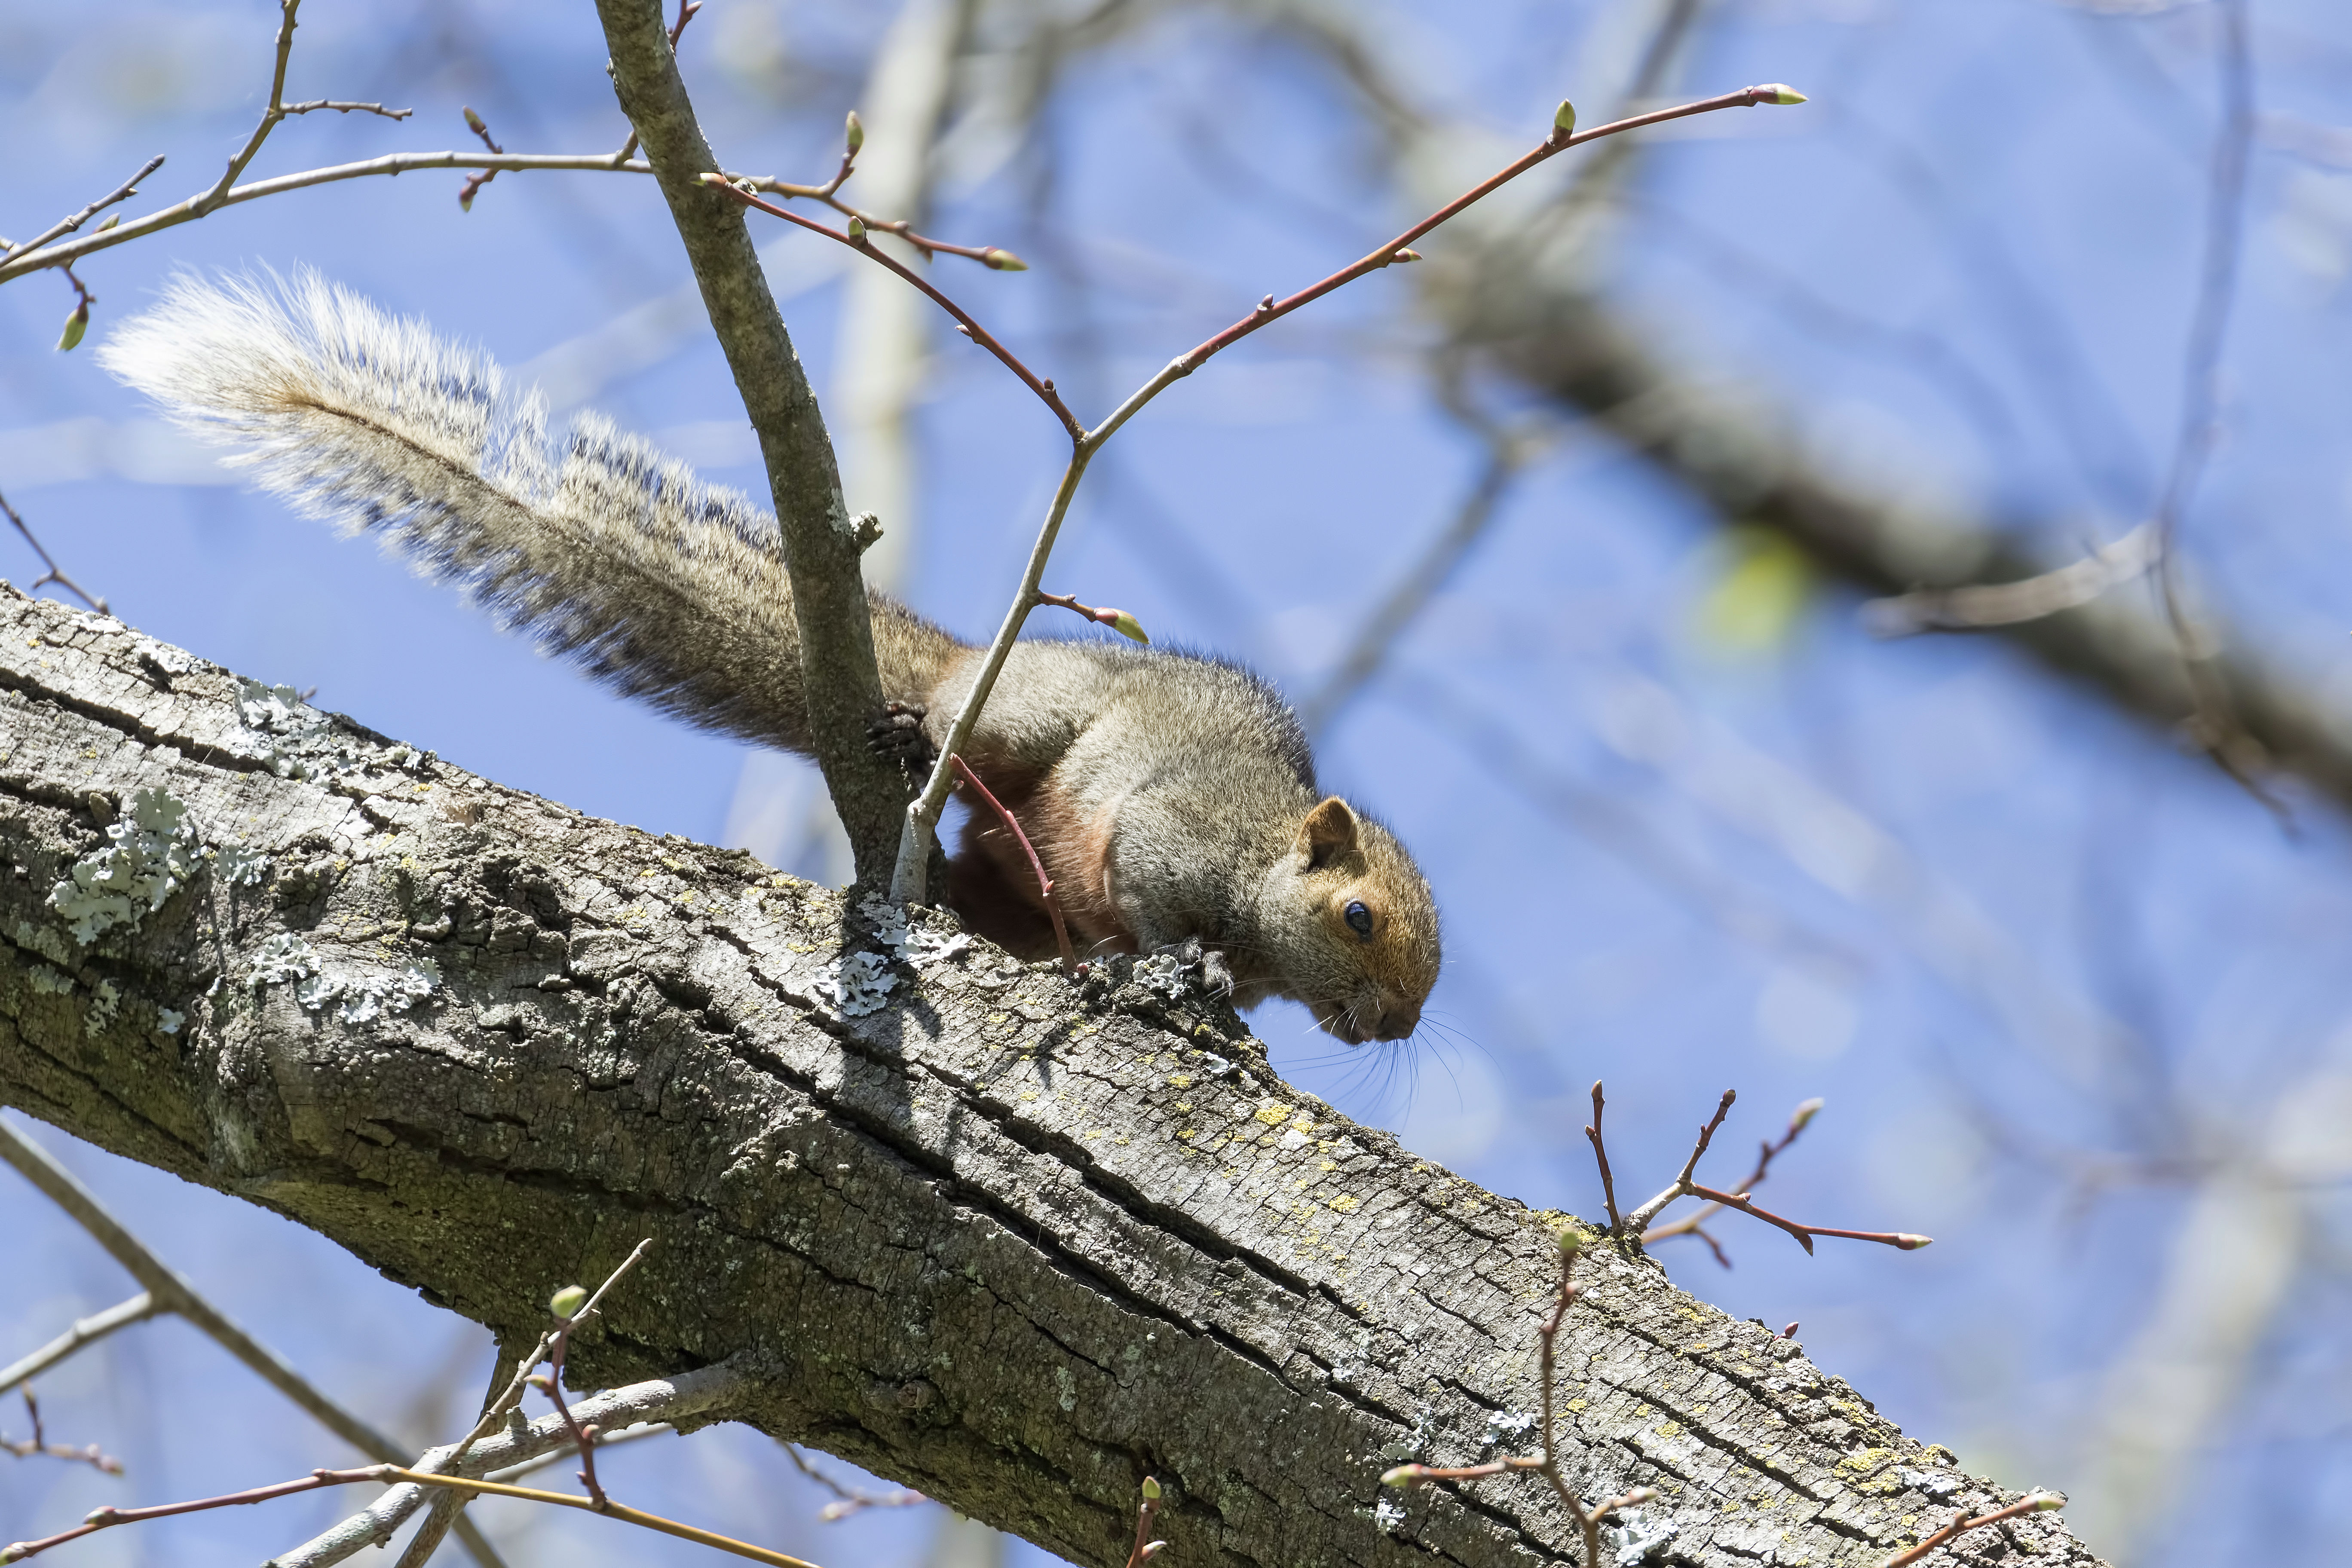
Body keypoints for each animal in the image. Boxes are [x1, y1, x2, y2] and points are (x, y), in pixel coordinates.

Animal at [101, 273, 1439, 1044]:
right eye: (1358, 916)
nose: (1389, 1029)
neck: (1264, 877)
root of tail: (964, 660)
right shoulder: (1178, 834)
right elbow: (1159, 902)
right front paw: (1188, 974)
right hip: (1024, 720)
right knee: (974, 754)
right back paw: (913, 739)